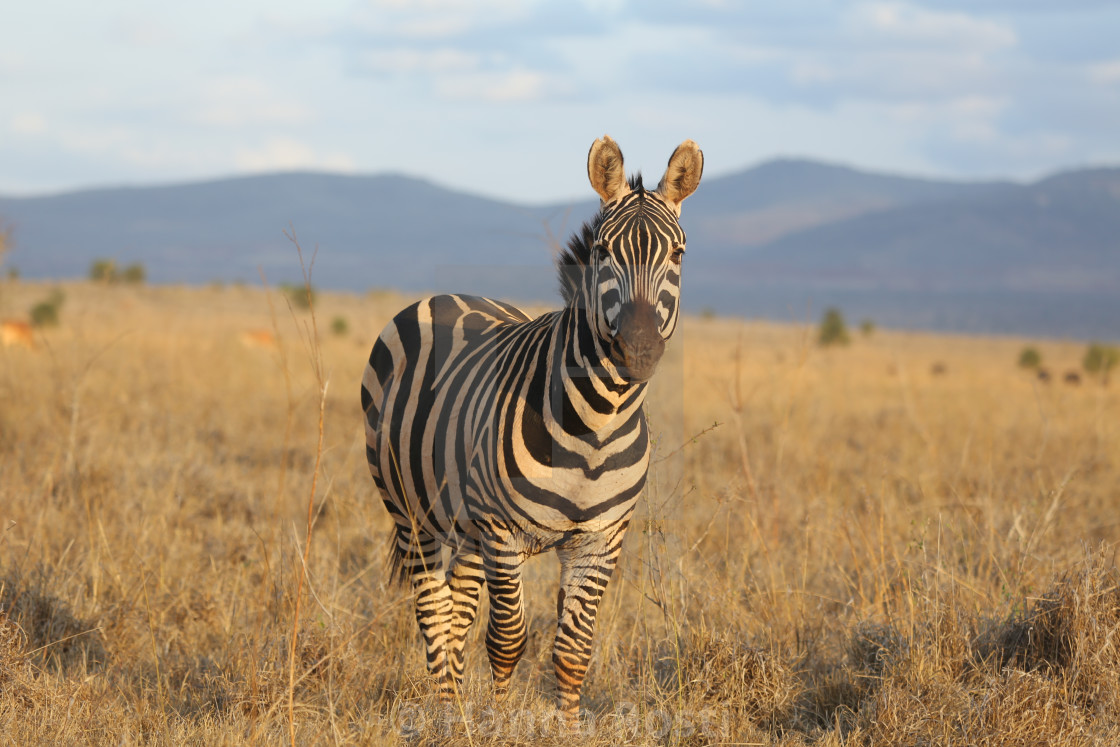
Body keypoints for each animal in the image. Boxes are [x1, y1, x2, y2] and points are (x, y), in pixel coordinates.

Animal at [362, 134, 703, 716]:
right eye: (602, 252)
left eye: (678, 255)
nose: (638, 350)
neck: (597, 426)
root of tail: (448, 294)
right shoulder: (503, 532)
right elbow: (507, 640)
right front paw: (498, 721)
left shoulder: (601, 539)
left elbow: (573, 649)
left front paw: (567, 724)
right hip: (410, 512)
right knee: (433, 611)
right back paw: (446, 712)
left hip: (467, 526)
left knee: (458, 611)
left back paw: (455, 706)